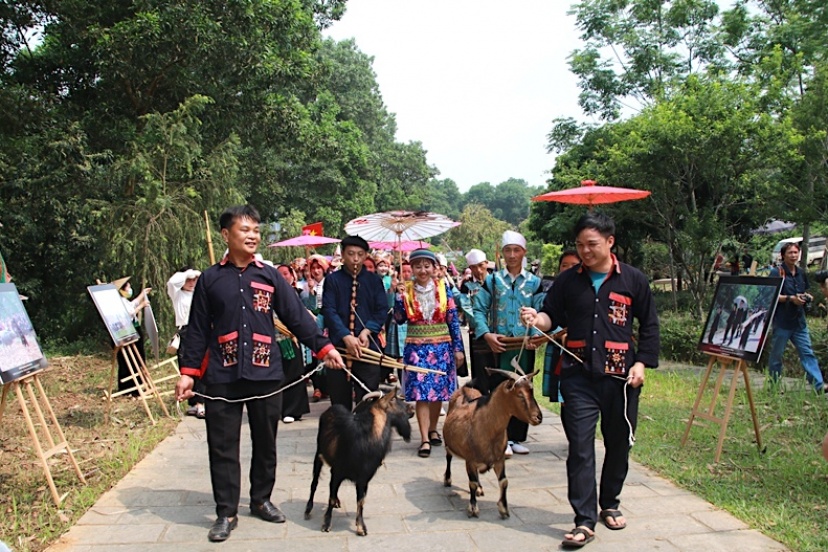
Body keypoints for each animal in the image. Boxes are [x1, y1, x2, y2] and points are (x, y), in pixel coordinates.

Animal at [304, 388, 410, 536]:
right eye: (394, 399)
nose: (411, 409)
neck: (366, 439)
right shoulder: (337, 472)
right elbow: (330, 497)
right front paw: (326, 524)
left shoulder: (363, 478)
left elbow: (361, 501)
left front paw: (361, 527)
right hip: (318, 455)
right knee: (314, 483)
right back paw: (308, 510)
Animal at [444, 368, 540, 520]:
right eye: (520, 394)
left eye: (532, 391)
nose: (538, 417)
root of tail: (465, 388)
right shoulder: (470, 460)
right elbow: (472, 483)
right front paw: (473, 508)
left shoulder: (499, 460)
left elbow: (504, 481)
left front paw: (504, 509)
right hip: (449, 444)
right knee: (448, 457)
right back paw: (447, 479)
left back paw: (480, 488)